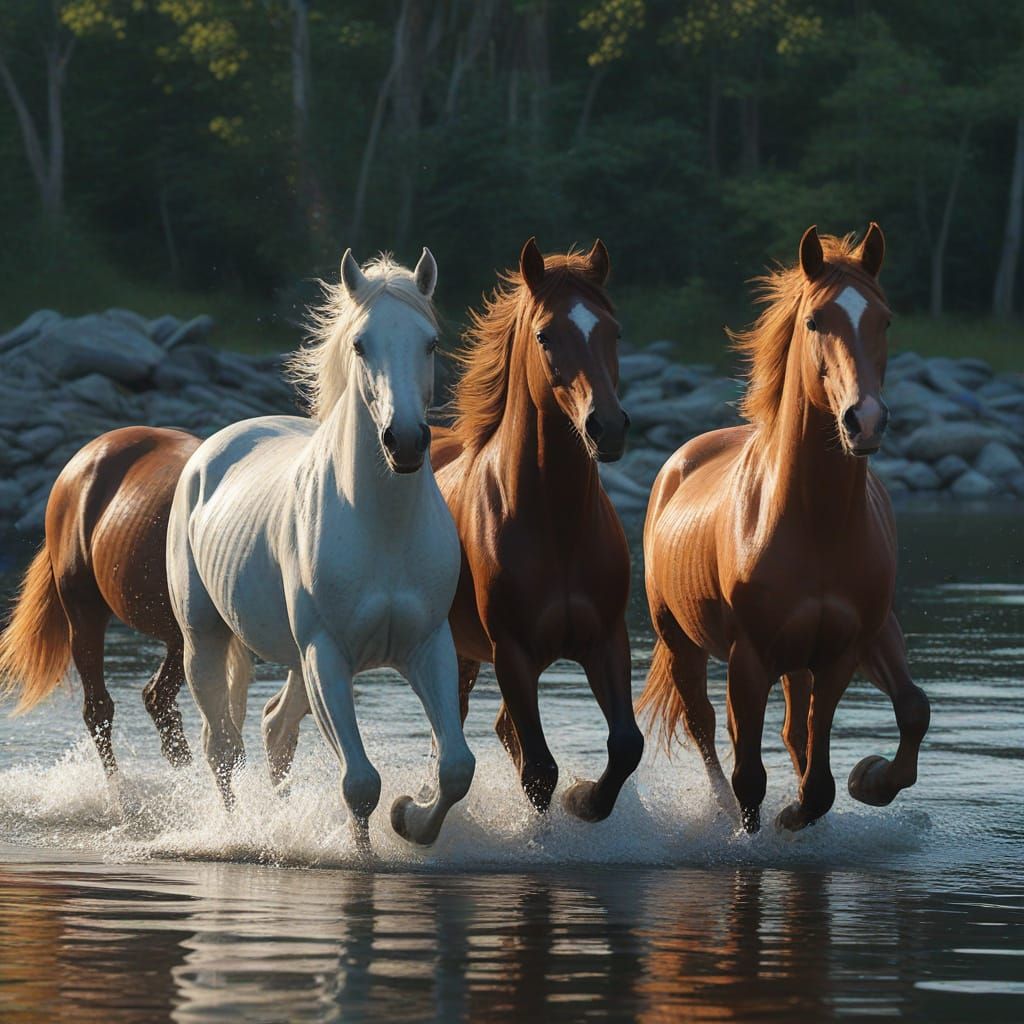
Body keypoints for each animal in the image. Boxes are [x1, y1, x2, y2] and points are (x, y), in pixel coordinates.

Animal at [166, 248, 475, 848]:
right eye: (360, 344)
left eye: (430, 342)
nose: (405, 442)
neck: (381, 527)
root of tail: (208, 453)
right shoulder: (326, 653)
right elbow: (360, 783)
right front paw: (364, 855)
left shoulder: (428, 647)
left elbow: (455, 767)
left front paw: (411, 818)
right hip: (204, 639)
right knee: (223, 746)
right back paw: (238, 832)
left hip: (294, 659)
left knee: (274, 728)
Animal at [428, 237, 644, 822]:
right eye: (546, 334)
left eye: (614, 330)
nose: (607, 427)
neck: (556, 524)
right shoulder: (512, 652)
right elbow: (540, 770)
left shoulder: (606, 639)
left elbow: (626, 744)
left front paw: (586, 800)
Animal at [638, 224, 930, 833]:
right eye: (815, 321)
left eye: (885, 319)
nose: (865, 420)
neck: (814, 521)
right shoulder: (750, 658)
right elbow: (751, 772)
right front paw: (763, 825)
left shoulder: (845, 648)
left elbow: (856, 744)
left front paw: (863, 783)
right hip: (680, 641)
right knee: (706, 725)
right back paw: (722, 806)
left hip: (825, 651)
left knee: (806, 728)